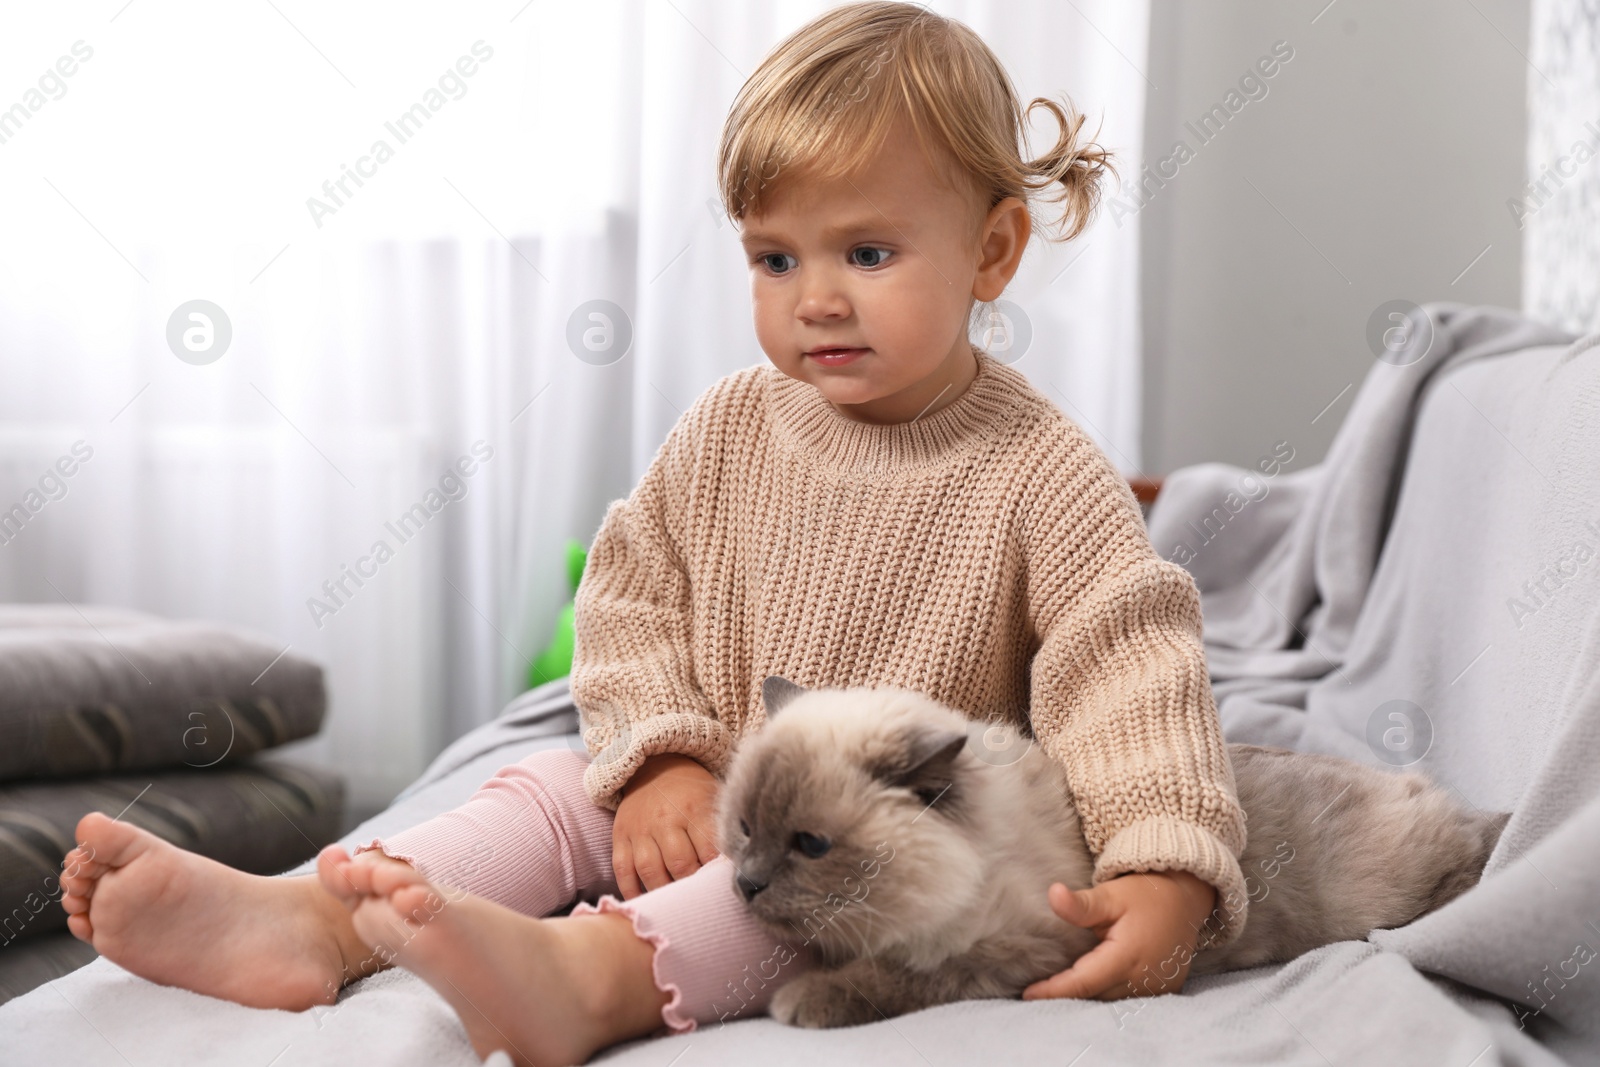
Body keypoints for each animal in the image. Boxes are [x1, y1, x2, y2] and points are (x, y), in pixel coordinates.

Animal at [720, 681, 1504, 1030]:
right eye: (744, 827)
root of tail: (1430, 790)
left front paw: (800, 1000)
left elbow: (899, 976)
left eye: (811, 845)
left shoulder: (1020, 950)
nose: (746, 886)